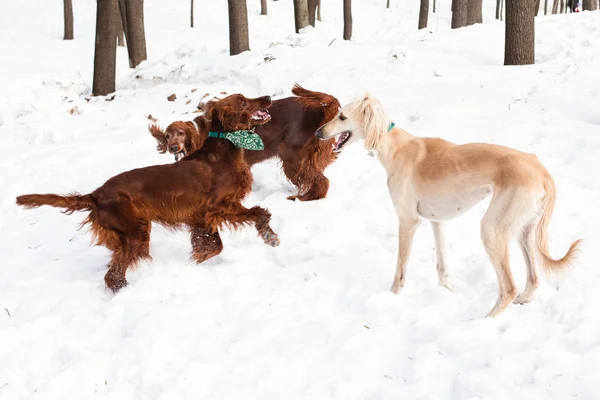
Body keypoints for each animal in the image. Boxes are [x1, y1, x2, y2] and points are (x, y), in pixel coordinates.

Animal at [16, 94, 278, 294]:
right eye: (243, 101)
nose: (267, 97)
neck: (222, 152)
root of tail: (95, 194)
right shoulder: (218, 205)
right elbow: (258, 212)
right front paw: (270, 237)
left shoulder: (200, 216)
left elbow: (211, 245)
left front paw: (197, 259)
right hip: (136, 231)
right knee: (113, 275)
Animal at [149, 85, 342, 203]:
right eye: (167, 136)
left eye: (180, 134)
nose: (173, 147)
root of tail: (320, 110)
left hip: (293, 157)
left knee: (320, 180)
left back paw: (305, 198)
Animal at [314, 95, 580, 318]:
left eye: (342, 117)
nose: (317, 133)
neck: (394, 146)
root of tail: (541, 170)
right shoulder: (437, 220)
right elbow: (442, 265)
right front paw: (449, 289)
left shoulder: (408, 221)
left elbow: (400, 270)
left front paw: (391, 297)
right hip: (525, 229)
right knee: (533, 279)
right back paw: (521, 301)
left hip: (492, 229)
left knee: (508, 287)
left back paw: (484, 321)